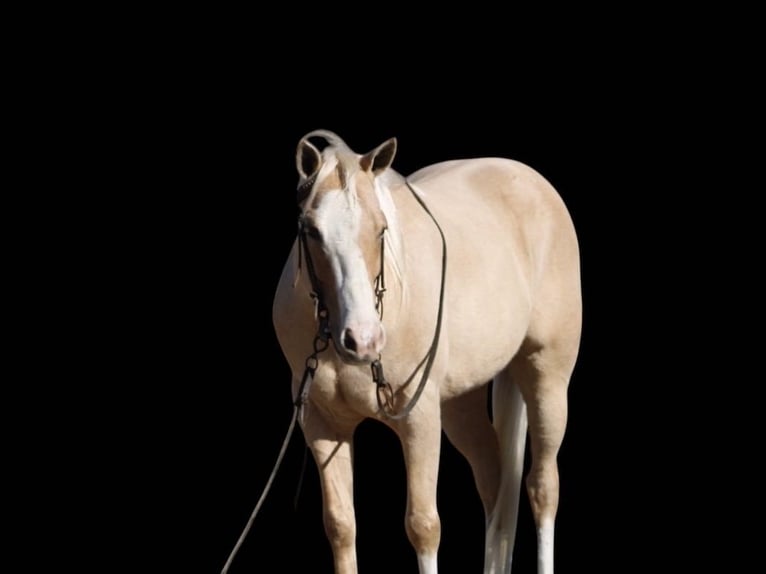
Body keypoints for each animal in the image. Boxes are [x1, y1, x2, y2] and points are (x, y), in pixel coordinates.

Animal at [274, 130, 584, 574]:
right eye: (311, 230)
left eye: (381, 229)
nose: (363, 340)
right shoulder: (322, 424)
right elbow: (341, 526)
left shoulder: (418, 419)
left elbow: (423, 526)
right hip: (459, 404)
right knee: (496, 484)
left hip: (547, 377)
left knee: (542, 487)